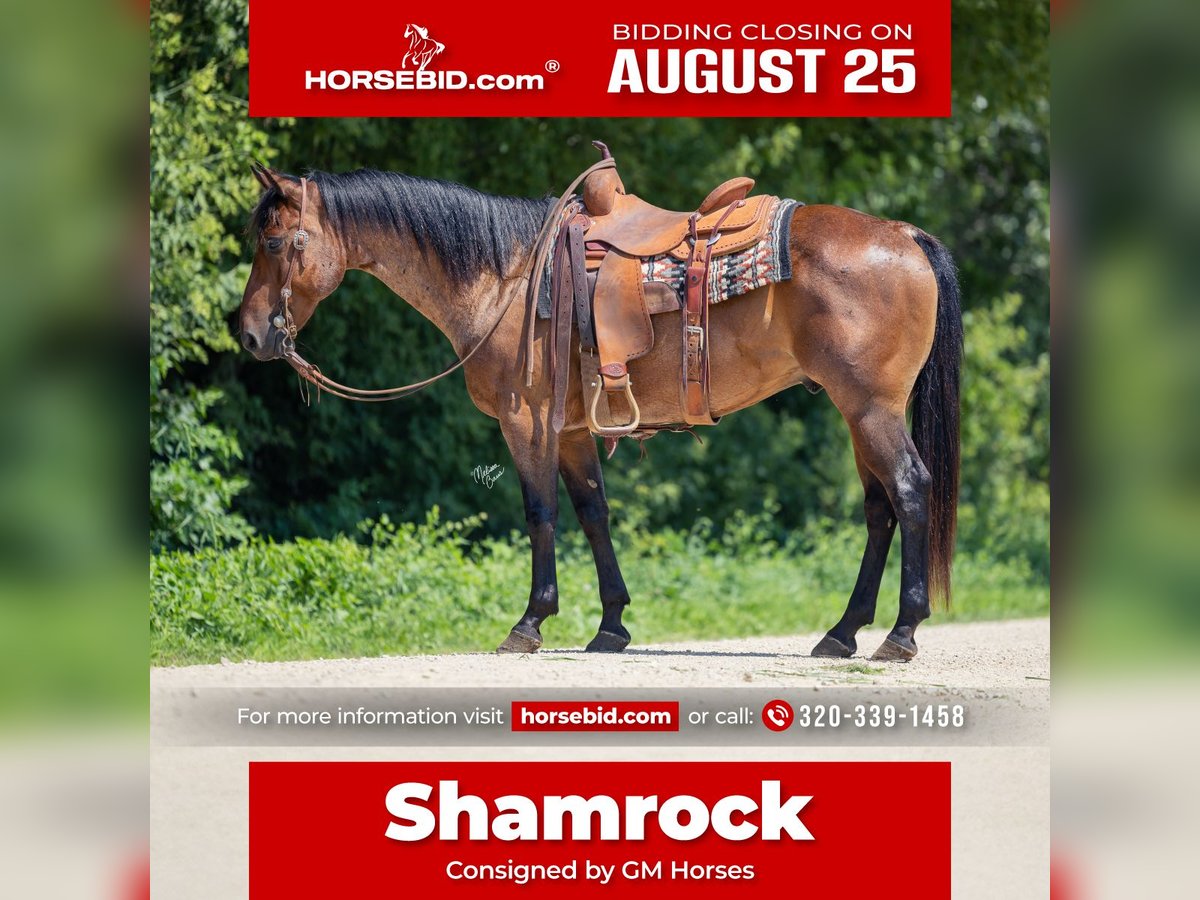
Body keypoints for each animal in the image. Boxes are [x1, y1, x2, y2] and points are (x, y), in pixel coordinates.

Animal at [238, 161, 961, 661]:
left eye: (273, 243)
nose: (248, 335)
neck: (506, 278)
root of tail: (904, 233)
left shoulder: (526, 422)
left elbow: (541, 514)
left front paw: (529, 623)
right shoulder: (571, 430)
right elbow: (593, 513)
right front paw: (611, 624)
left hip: (870, 409)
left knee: (910, 491)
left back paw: (900, 634)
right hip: (857, 413)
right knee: (879, 510)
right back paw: (842, 633)